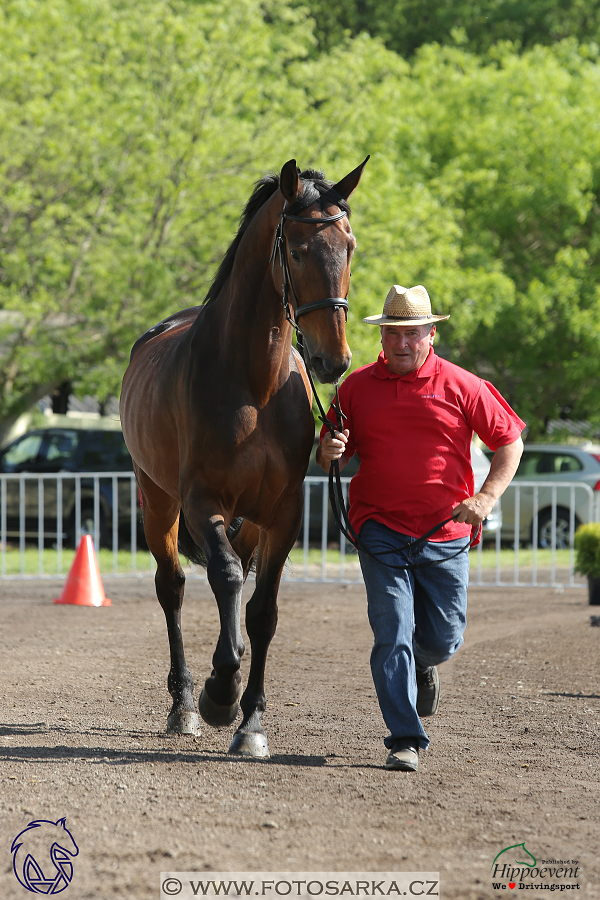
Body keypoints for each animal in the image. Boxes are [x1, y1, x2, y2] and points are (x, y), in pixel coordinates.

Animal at [120, 158, 368, 756]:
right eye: (296, 250)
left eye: (349, 246)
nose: (332, 360)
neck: (256, 383)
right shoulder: (202, 500)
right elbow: (228, 580)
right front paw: (219, 693)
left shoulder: (281, 514)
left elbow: (262, 612)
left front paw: (250, 721)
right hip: (157, 501)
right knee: (175, 588)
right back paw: (186, 704)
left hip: (247, 521)